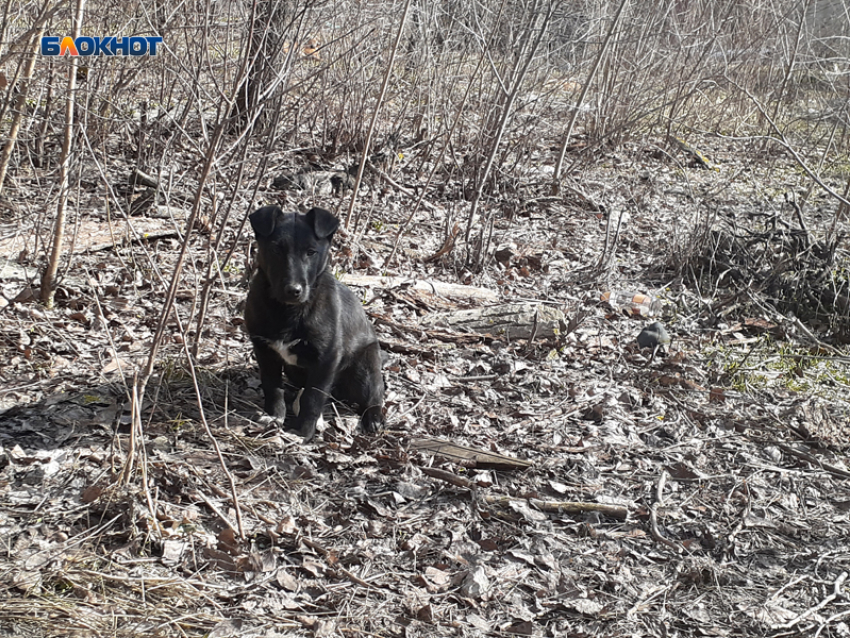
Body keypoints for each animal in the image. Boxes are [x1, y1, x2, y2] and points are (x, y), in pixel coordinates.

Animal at [240, 205, 382, 440]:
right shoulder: (264, 351)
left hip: (366, 370)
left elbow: (312, 399)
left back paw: (374, 419)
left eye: (311, 252)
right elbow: (272, 386)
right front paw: (274, 416)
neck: (288, 311)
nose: (293, 290)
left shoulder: (325, 360)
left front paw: (302, 431)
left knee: (374, 398)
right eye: (276, 250)